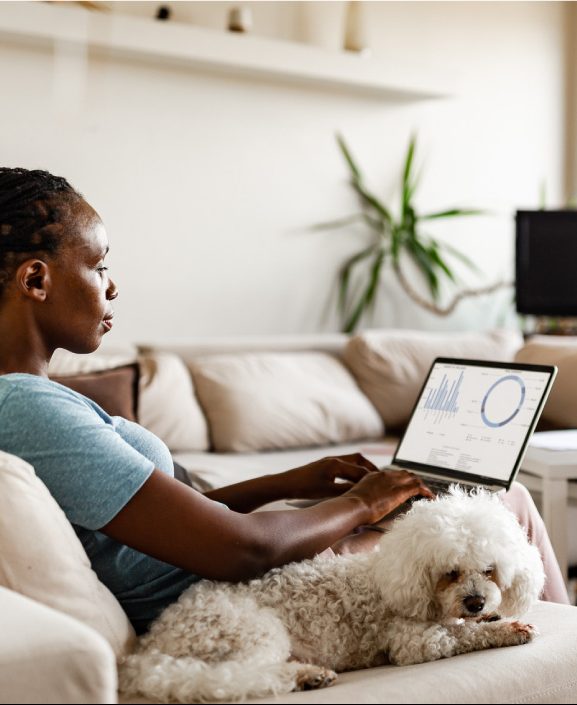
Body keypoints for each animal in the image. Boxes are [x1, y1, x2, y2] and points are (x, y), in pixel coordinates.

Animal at [118, 486, 544, 700]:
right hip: (251, 631)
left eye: (489, 570)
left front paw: (493, 616)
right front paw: (506, 629)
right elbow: (463, 634)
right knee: (235, 676)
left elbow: (468, 624)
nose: (476, 601)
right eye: (449, 573)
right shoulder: (413, 640)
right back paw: (308, 677)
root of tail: (150, 646)